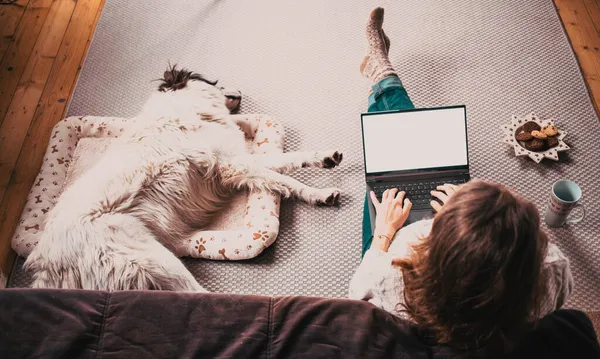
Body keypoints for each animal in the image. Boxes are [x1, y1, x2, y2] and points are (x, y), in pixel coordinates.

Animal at [24, 66, 342, 292]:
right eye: (215, 82)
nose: (239, 89)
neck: (185, 107)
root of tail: (47, 262)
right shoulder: (235, 165)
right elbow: (284, 179)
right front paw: (319, 194)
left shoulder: (240, 158)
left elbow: (290, 160)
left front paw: (326, 158)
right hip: (154, 260)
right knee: (195, 294)